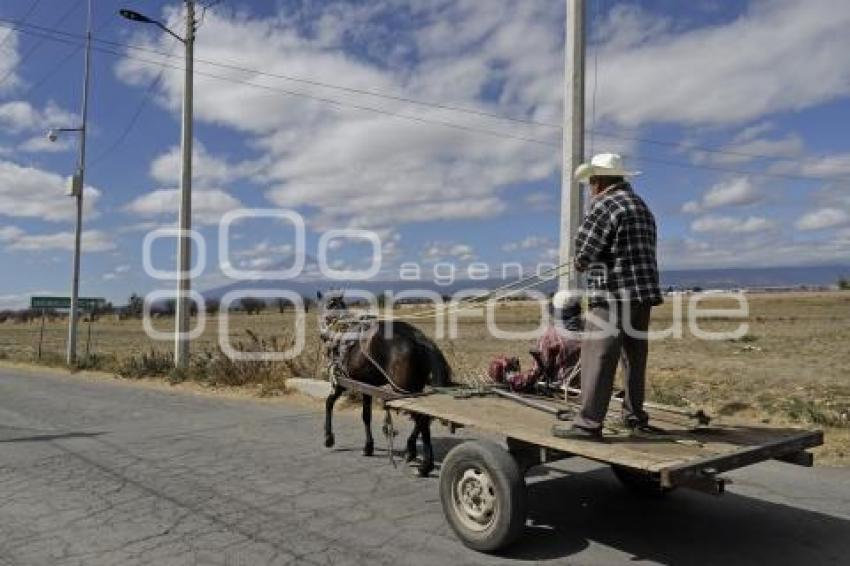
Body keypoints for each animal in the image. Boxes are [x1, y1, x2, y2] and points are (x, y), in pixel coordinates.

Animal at [318, 296, 450, 478]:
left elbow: (329, 403)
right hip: (413, 390)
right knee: (424, 417)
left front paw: (329, 437)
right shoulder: (366, 385)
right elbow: (366, 415)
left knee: (422, 418)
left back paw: (425, 465)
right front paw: (368, 446)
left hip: (403, 389)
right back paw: (411, 450)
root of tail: (419, 338)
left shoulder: (342, 381)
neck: (342, 329)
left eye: (325, 308)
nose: (322, 335)